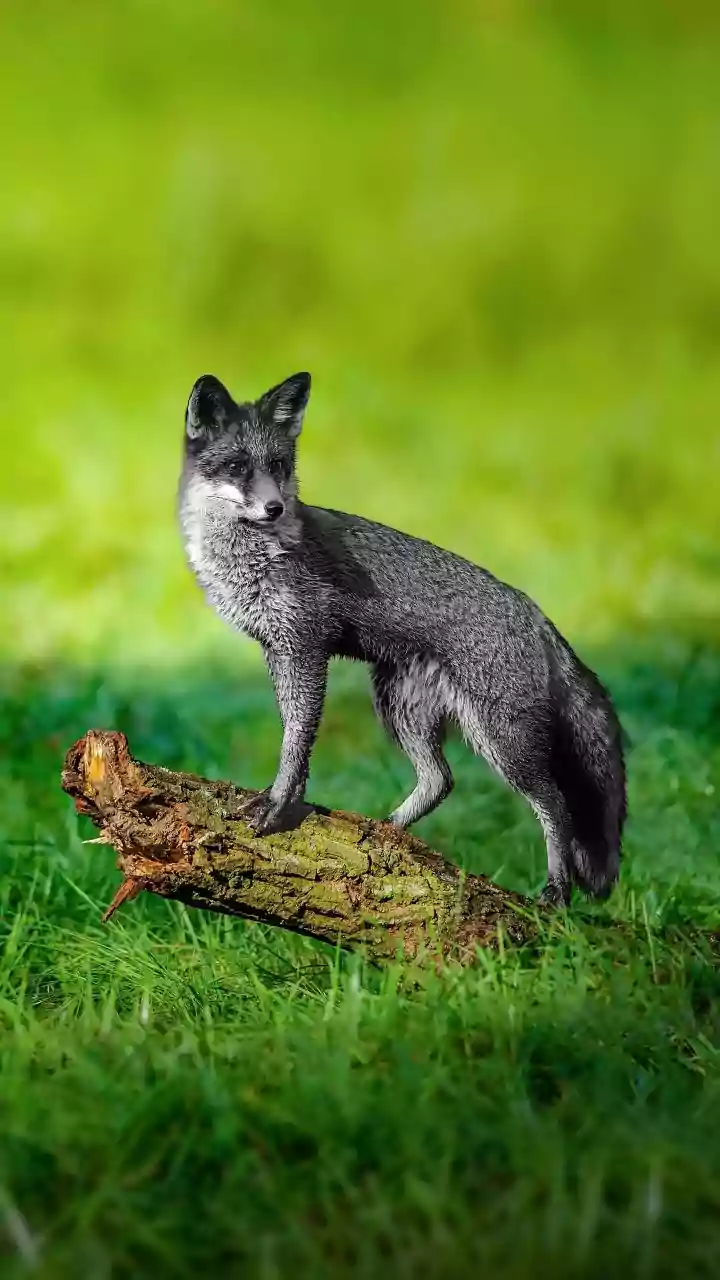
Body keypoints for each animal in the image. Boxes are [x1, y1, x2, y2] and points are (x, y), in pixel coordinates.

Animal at [178, 371, 626, 904]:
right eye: (237, 467)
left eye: (279, 465)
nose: (275, 507)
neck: (249, 558)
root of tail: (535, 613)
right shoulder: (278, 648)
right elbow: (295, 737)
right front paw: (290, 805)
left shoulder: (306, 644)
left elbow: (296, 741)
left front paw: (279, 805)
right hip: (399, 708)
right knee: (441, 780)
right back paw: (384, 835)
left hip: (502, 742)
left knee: (553, 804)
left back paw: (556, 891)